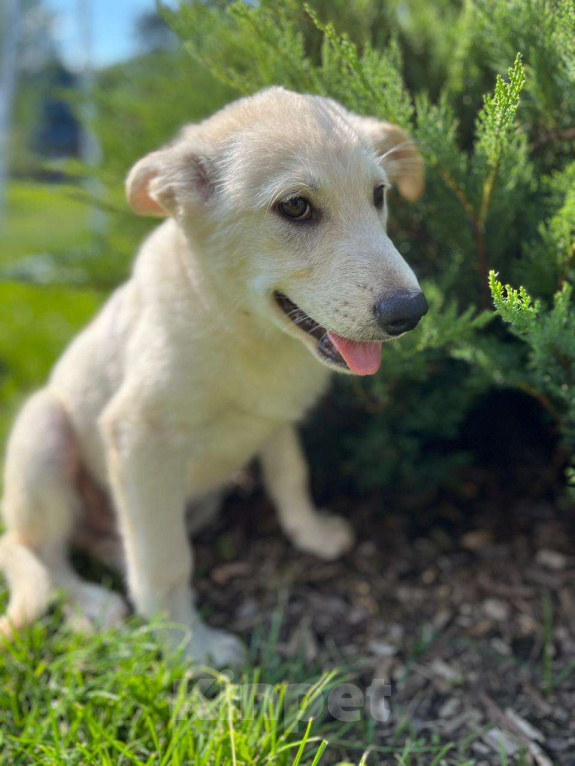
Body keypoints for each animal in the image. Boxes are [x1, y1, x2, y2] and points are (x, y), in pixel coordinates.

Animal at [0, 88, 424, 664]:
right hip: (45, 432)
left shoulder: (275, 418)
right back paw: (92, 605)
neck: (242, 329)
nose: (412, 311)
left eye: (379, 195)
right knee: (33, 548)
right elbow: (165, 560)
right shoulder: (141, 437)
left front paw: (311, 533)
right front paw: (188, 645)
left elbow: (290, 474)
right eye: (295, 206)